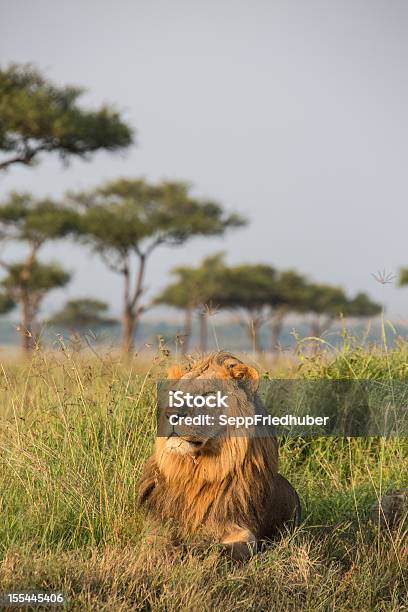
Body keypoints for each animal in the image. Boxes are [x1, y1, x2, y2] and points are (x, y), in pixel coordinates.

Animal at [139, 350, 302, 560]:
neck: (198, 472)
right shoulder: (157, 523)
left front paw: (191, 550)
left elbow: (221, 550)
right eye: (175, 394)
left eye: (208, 395)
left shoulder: (242, 529)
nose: (172, 414)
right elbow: (154, 543)